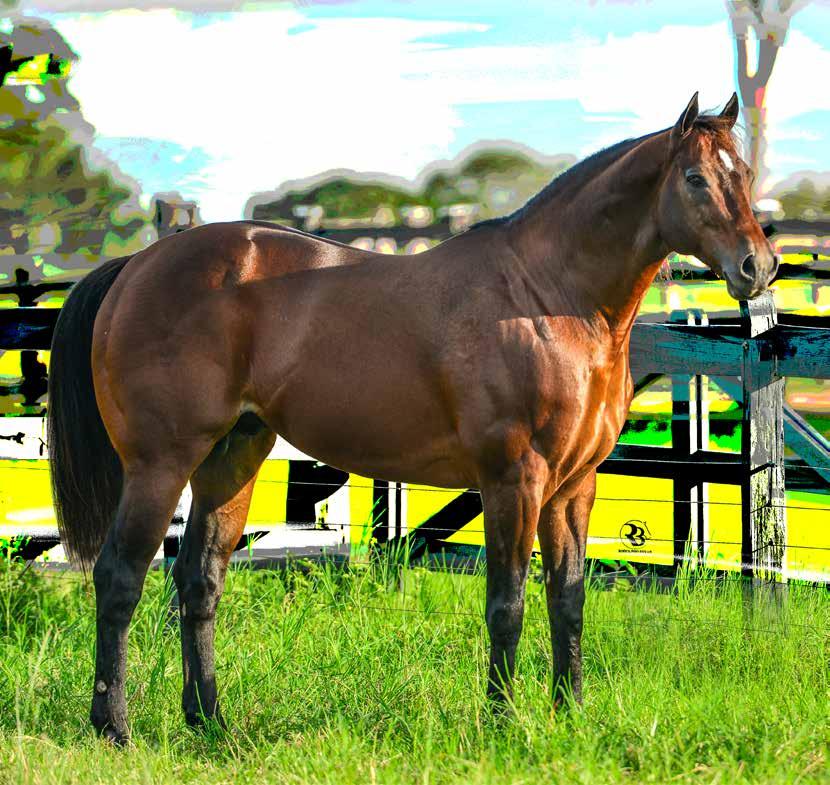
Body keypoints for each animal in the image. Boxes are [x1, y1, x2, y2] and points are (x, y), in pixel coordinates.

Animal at [47, 93, 780, 740]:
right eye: (694, 177)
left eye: (743, 176)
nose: (759, 266)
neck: (548, 297)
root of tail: (137, 264)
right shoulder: (514, 480)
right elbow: (507, 604)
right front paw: (504, 725)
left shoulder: (575, 487)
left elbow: (568, 600)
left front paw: (569, 716)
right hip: (160, 463)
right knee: (119, 576)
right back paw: (114, 727)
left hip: (233, 457)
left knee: (199, 581)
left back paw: (212, 725)